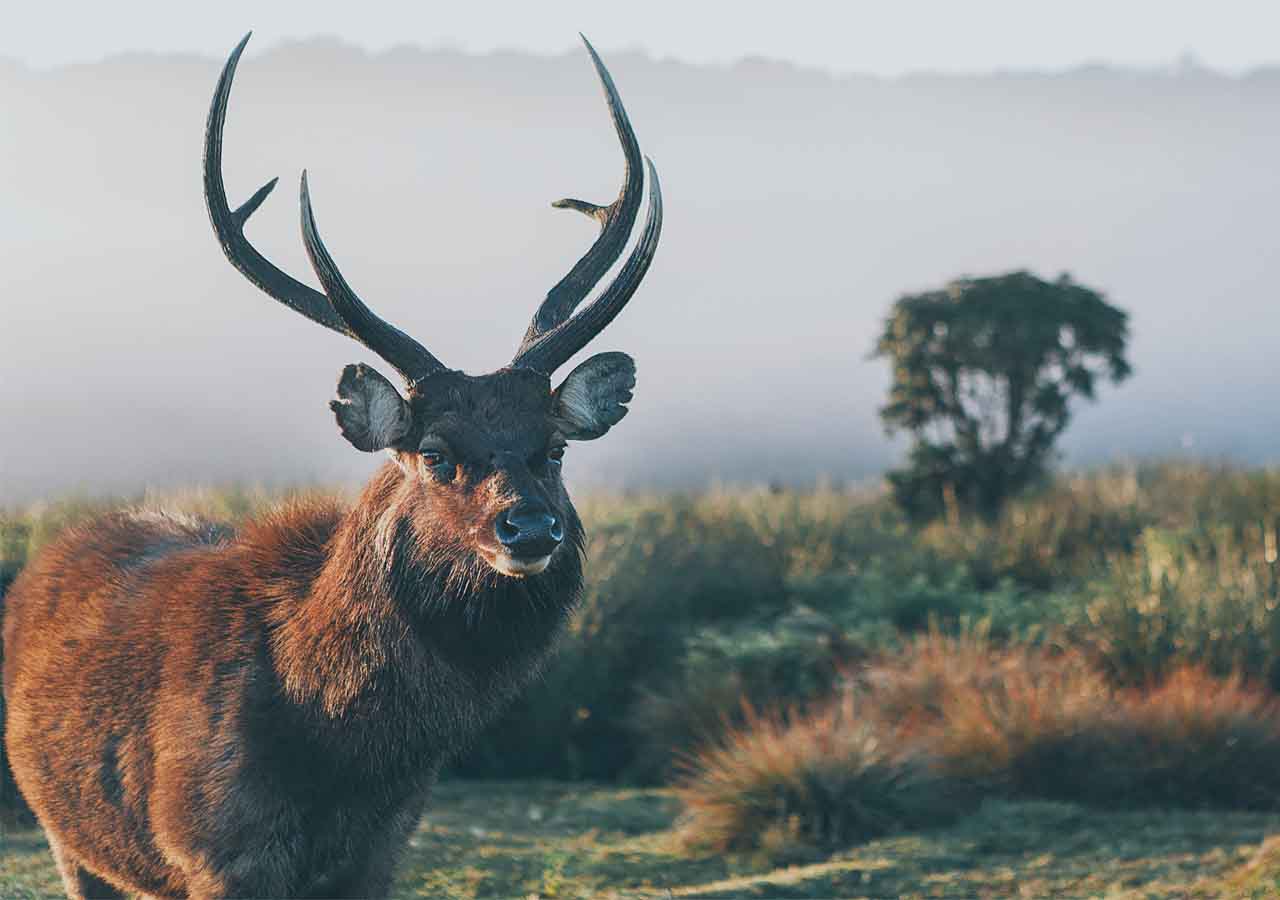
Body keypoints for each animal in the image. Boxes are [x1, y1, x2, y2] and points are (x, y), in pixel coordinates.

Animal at [0, 31, 660, 896]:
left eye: (554, 448)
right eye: (434, 454)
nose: (529, 528)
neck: (346, 755)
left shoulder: (383, 849)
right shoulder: (213, 851)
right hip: (70, 840)